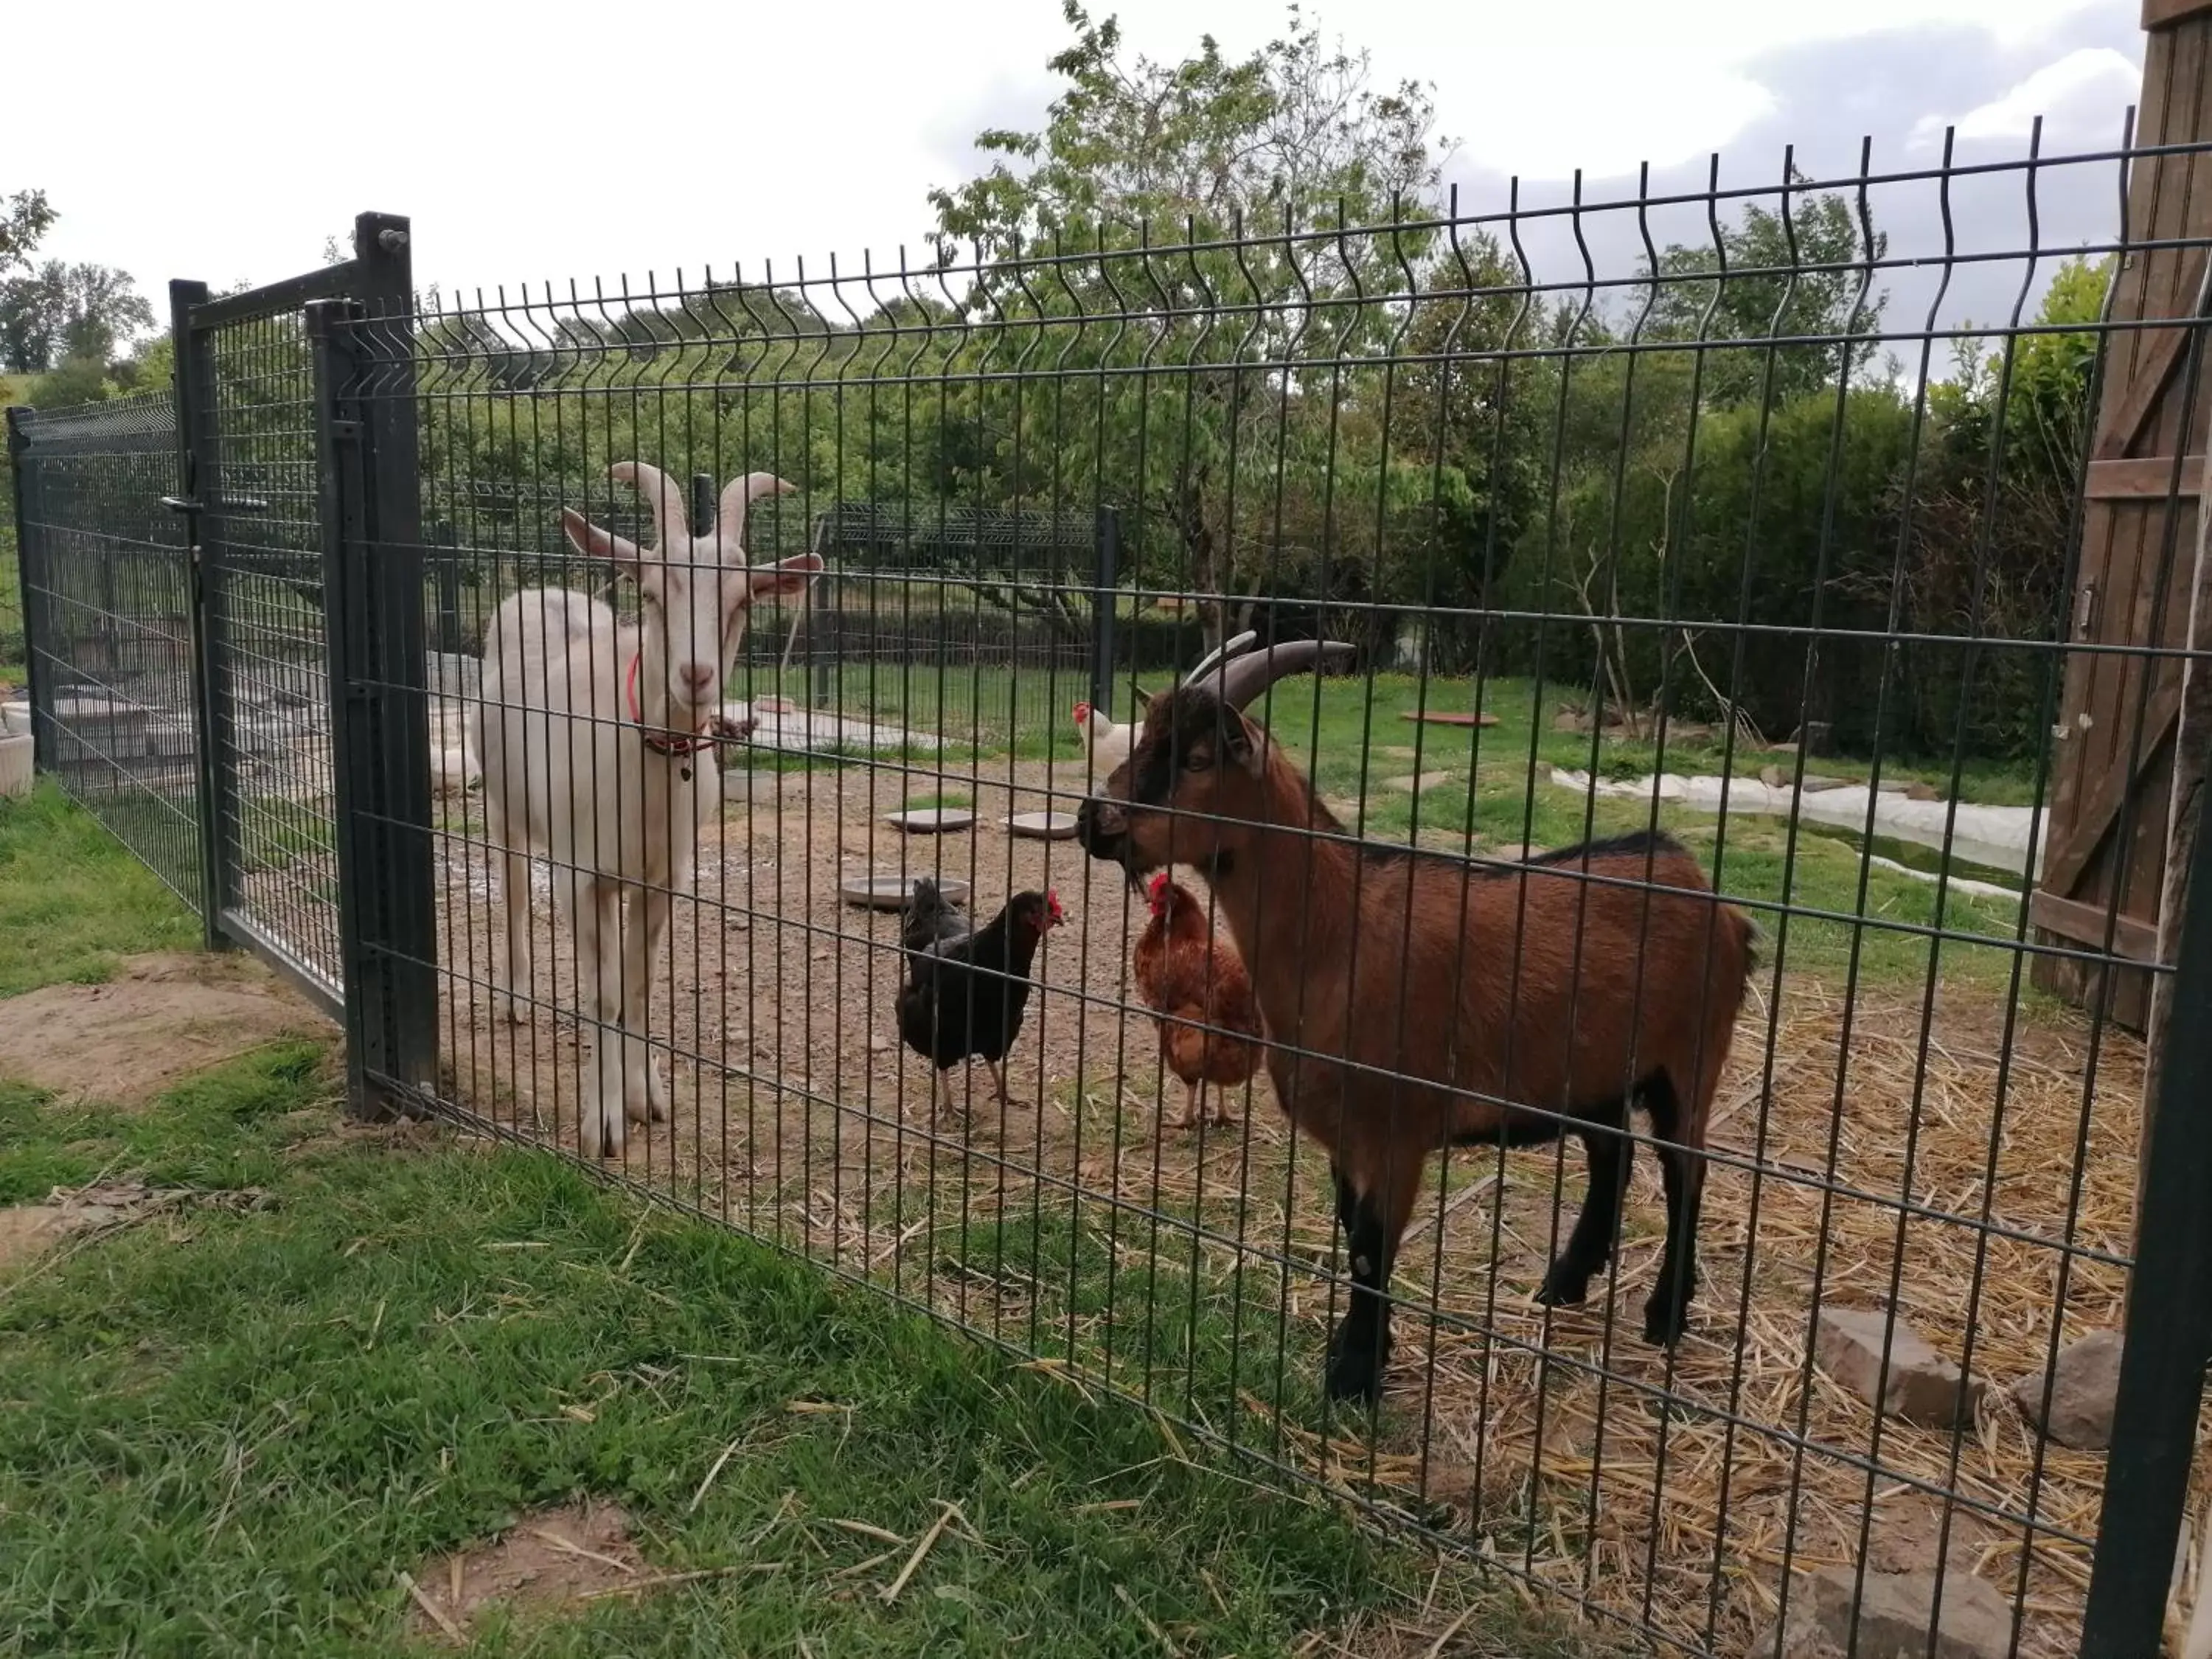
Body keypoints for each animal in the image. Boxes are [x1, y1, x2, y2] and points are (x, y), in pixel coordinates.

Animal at [476, 456, 823, 1159]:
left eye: (741, 600)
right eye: (653, 594)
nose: (696, 675)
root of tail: (536, 593)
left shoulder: (663, 878)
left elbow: (638, 983)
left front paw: (648, 1098)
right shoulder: (582, 875)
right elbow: (603, 994)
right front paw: (603, 1124)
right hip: (506, 811)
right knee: (517, 893)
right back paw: (517, 999)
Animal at [1075, 641, 1761, 1407]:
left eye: (1195, 759)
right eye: (1142, 742)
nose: (1093, 820)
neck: (1338, 932)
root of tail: (1714, 899)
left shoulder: (1396, 1134)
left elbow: (1372, 1249)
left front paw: (1353, 1378)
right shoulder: (1345, 1135)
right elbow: (1353, 1235)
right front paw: (1362, 1354)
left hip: (1691, 1059)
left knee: (1685, 1173)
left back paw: (1664, 1316)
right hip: (1597, 1070)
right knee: (1614, 1155)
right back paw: (1564, 1284)